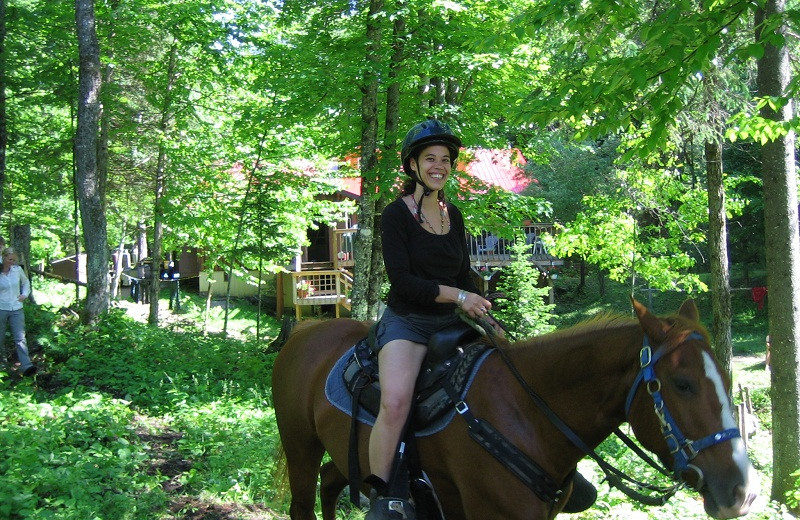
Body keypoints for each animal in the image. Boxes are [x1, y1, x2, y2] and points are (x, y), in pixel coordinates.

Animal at [274, 298, 756, 516]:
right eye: (682, 383)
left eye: (727, 378)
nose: (742, 492)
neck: (529, 412)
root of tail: (305, 330)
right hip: (300, 448)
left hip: (348, 454)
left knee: (331, 482)